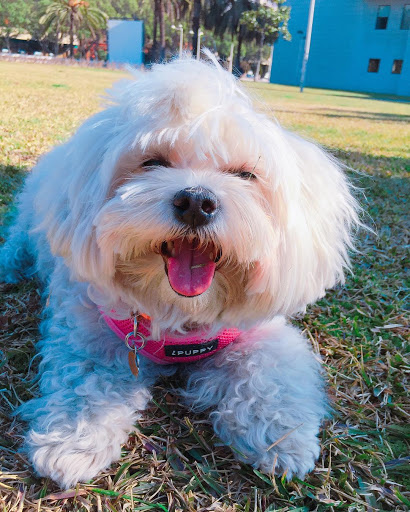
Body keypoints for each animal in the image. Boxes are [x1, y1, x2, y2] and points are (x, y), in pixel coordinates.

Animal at [0, 56, 358, 488]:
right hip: (27, 225)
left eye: (245, 175)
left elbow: (268, 377)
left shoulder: (260, 334)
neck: (178, 314)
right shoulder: (92, 336)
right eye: (152, 162)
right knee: (18, 242)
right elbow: (86, 386)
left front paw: (281, 439)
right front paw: (71, 443)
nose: (196, 202)